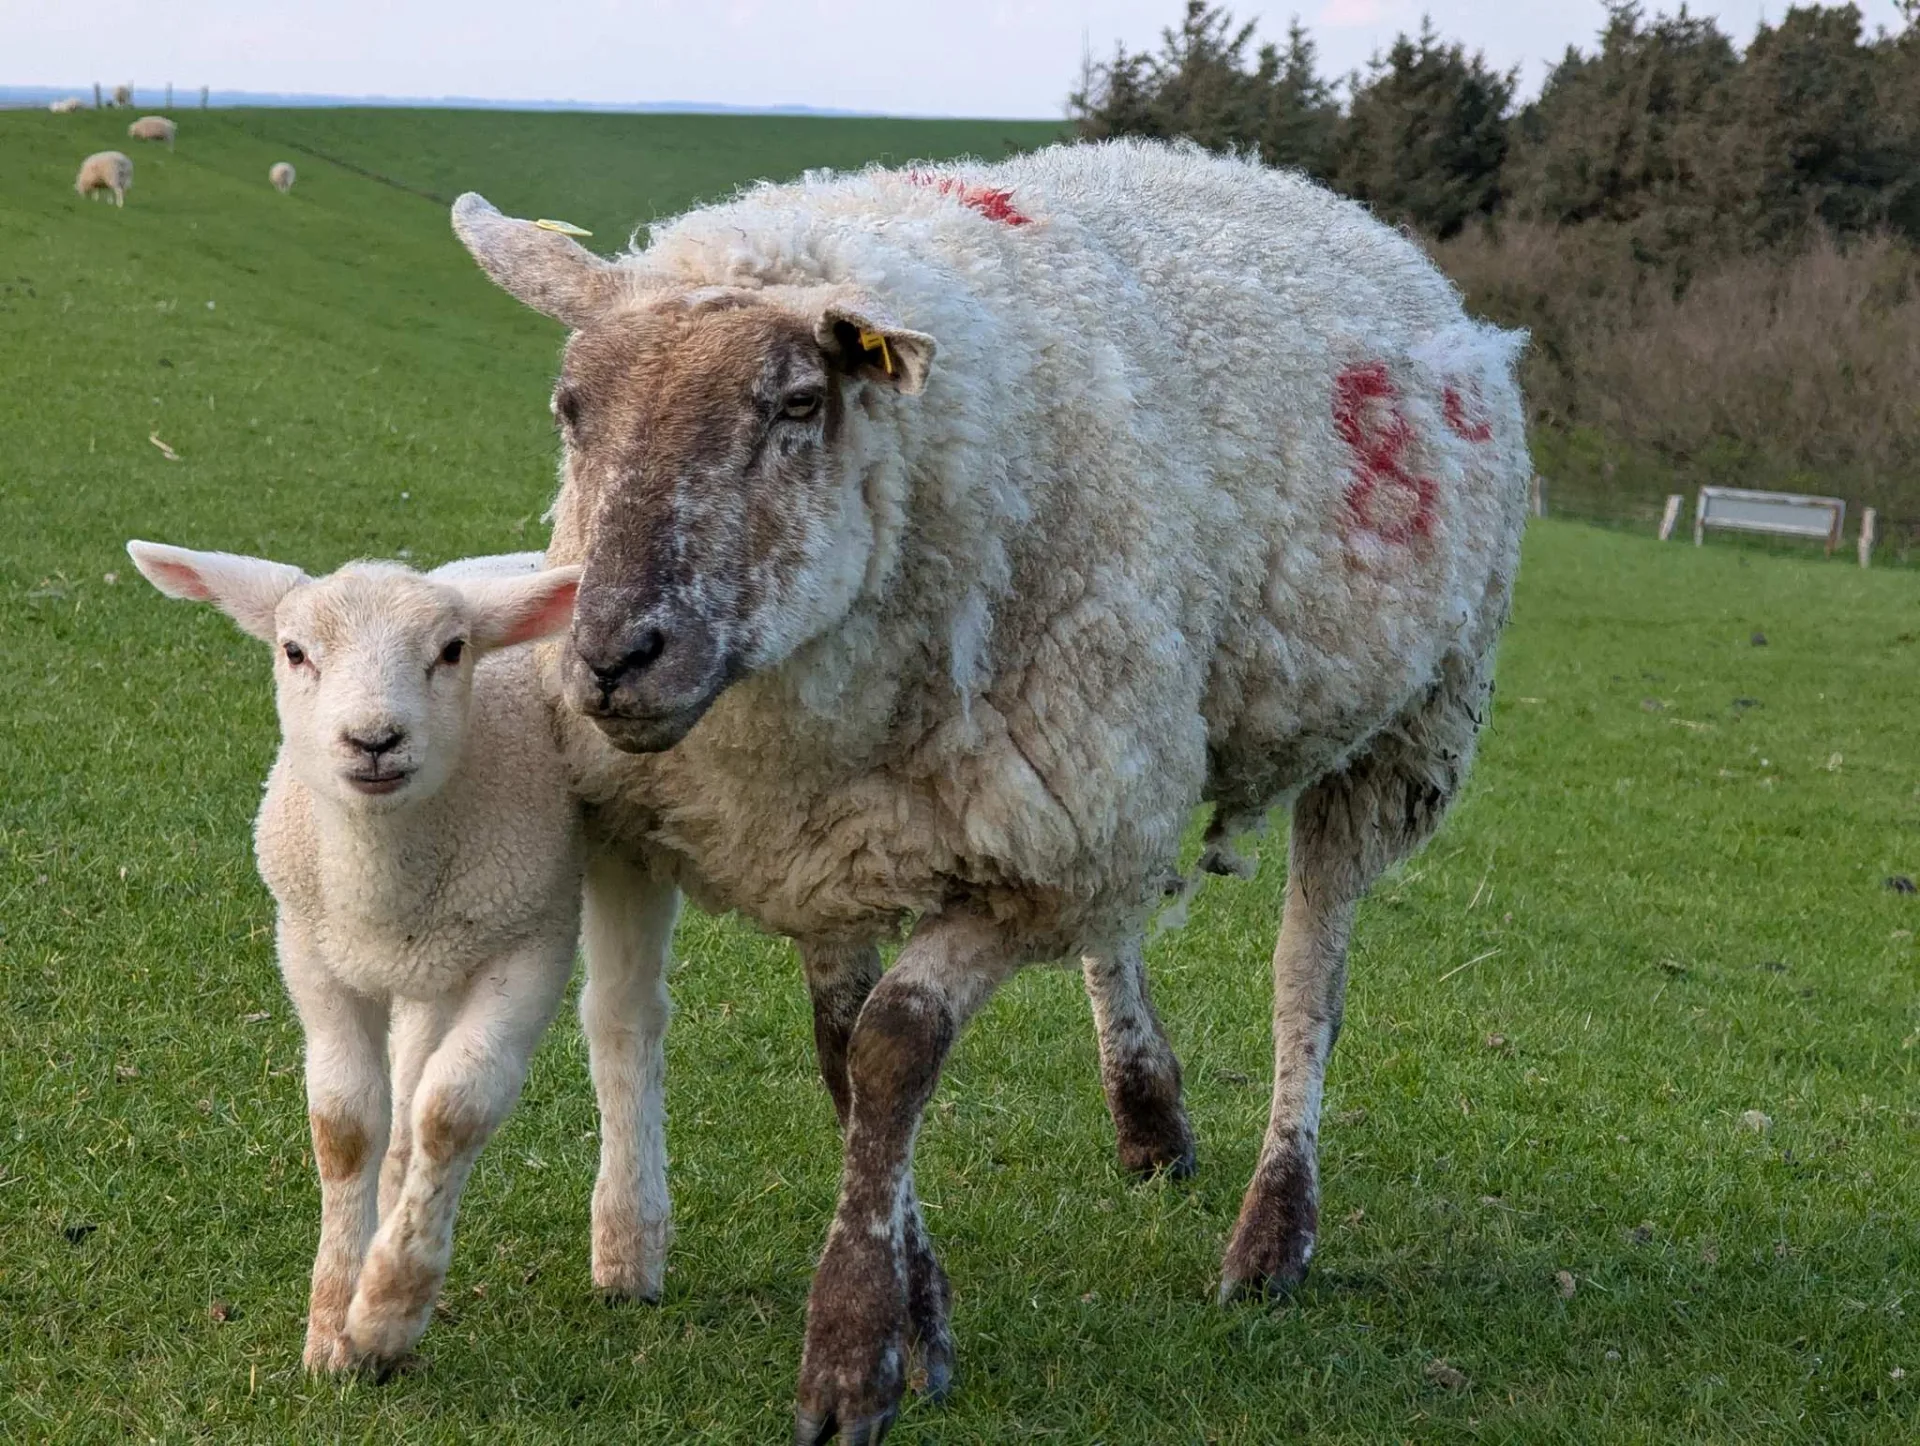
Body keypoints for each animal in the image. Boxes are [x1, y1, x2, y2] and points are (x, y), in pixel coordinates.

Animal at [123, 542, 680, 1373]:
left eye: (452, 651)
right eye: (294, 651)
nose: (375, 740)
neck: (381, 881)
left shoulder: (530, 942)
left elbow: (453, 1109)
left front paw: (388, 1308)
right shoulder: (311, 952)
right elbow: (346, 1122)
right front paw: (332, 1327)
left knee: (622, 1017)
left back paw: (626, 1248)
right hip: (428, 967)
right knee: (409, 1081)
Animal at [453, 137, 1531, 1439]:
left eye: (799, 405)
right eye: (573, 409)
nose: (613, 657)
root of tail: (1321, 196)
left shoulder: (1005, 860)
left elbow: (895, 1047)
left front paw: (853, 1350)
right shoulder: (824, 831)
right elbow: (843, 1056)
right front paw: (920, 1314)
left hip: (1405, 726)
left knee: (1307, 978)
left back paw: (1275, 1231)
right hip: (1107, 753)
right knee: (1119, 922)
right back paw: (1149, 1114)